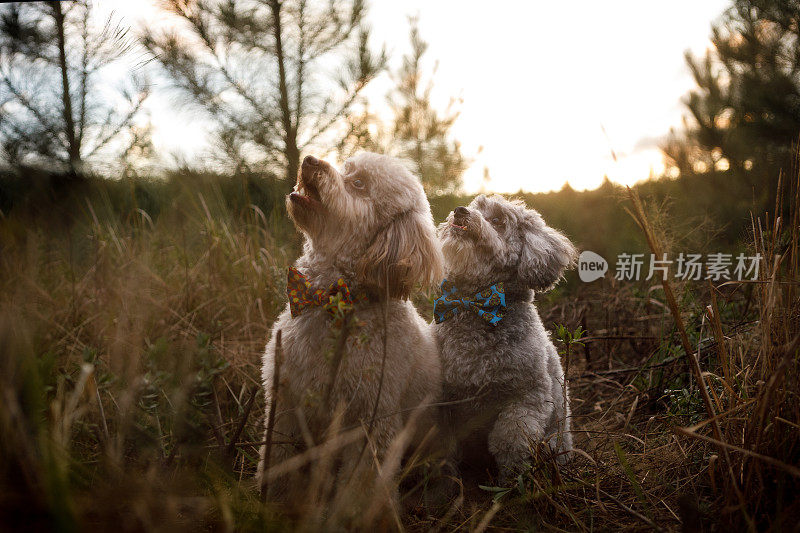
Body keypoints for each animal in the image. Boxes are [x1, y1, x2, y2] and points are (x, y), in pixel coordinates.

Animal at [258, 153, 440, 498]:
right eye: (347, 168)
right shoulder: (286, 403)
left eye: (359, 184)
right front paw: (271, 499)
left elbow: (360, 485)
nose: (309, 159)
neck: (332, 300)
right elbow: (277, 458)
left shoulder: (372, 421)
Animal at [434, 193, 580, 480]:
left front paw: (511, 481)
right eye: (475, 206)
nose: (460, 211)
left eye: (498, 220)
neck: (478, 307)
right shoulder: (445, 401)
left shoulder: (528, 397)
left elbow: (510, 440)